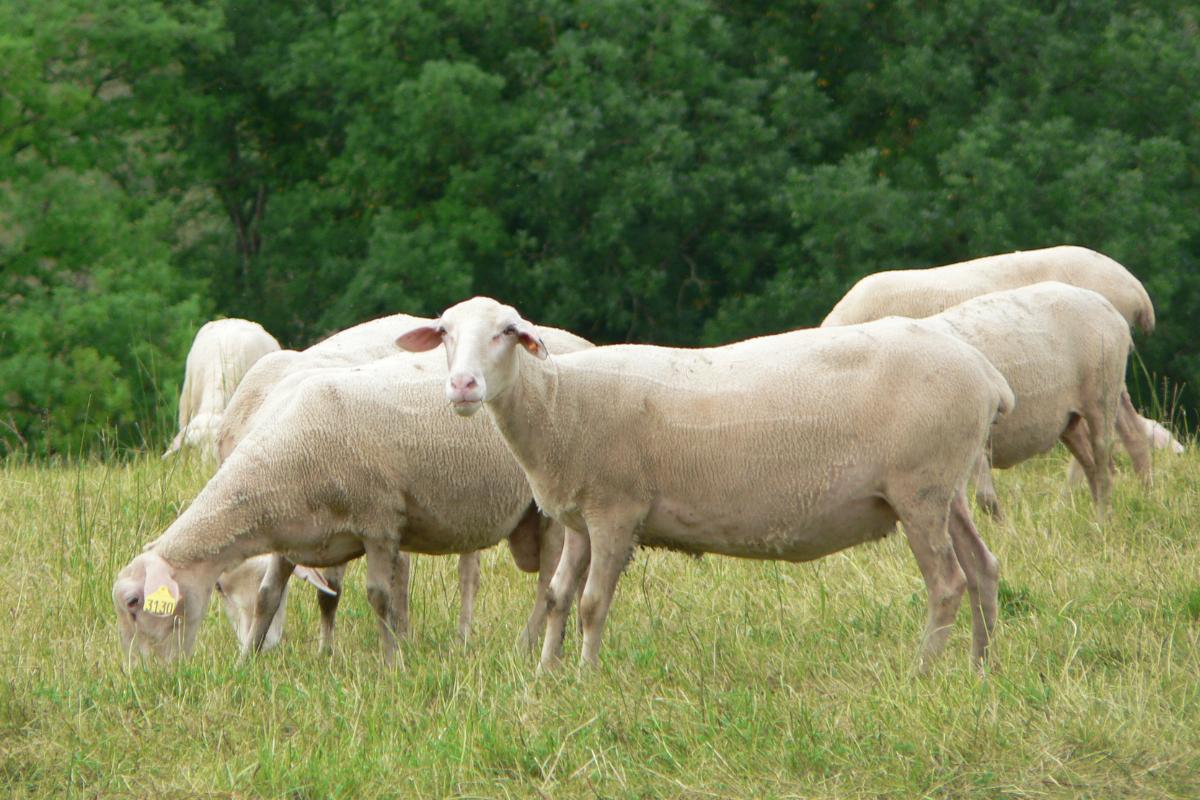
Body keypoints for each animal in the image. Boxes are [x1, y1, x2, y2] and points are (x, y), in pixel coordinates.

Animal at [396, 297, 1012, 671]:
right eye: (445, 333)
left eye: (506, 332)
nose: (463, 386)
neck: (558, 405)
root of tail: (986, 373)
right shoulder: (578, 519)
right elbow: (556, 597)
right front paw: (546, 675)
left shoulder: (616, 510)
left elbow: (593, 603)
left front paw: (584, 677)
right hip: (947, 486)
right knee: (983, 567)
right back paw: (981, 667)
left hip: (920, 488)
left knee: (947, 583)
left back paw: (922, 672)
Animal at [912, 284, 1147, 515]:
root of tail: (1106, 305)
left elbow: (985, 499)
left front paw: (1004, 526)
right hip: (1069, 418)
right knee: (1094, 462)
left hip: (1103, 393)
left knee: (1104, 465)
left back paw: (1103, 517)